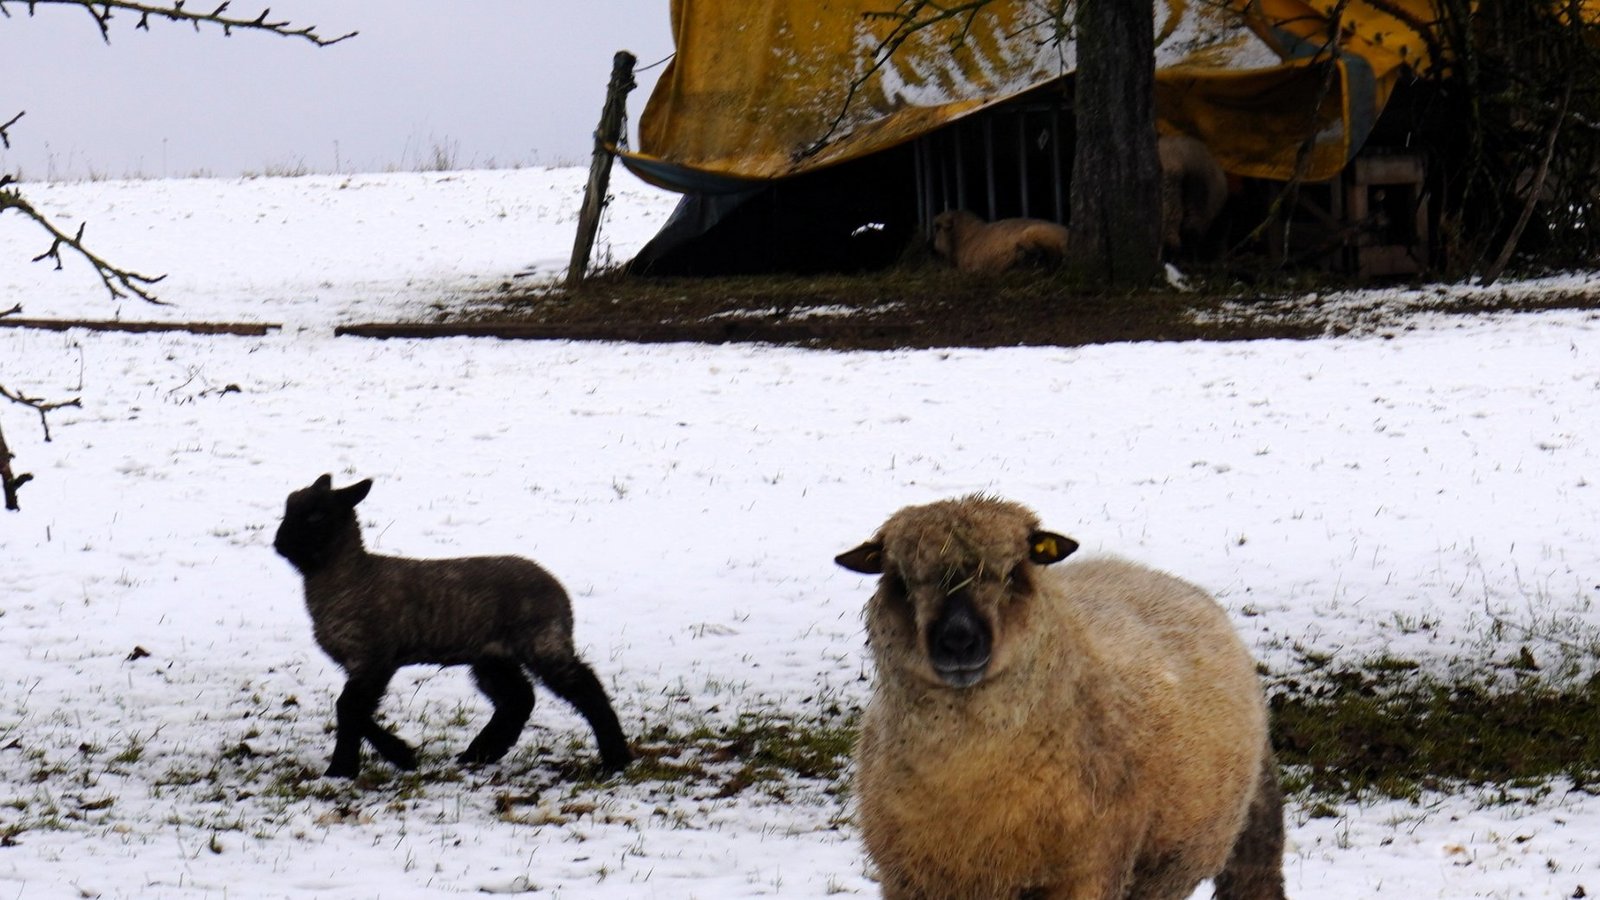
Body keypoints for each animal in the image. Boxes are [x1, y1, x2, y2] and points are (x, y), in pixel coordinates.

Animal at [272, 474, 633, 779]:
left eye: (317, 516)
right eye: (288, 508)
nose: (279, 544)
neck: (351, 577)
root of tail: (558, 589)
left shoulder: (374, 657)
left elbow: (350, 710)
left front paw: (343, 769)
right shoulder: (368, 663)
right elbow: (356, 712)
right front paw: (400, 756)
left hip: (541, 641)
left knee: (585, 688)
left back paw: (616, 758)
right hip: (492, 654)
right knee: (518, 699)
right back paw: (480, 753)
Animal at [835, 495, 1285, 900]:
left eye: (1013, 572)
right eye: (899, 581)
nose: (958, 642)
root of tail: (1143, 570)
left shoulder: (1086, 874)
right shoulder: (907, 880)